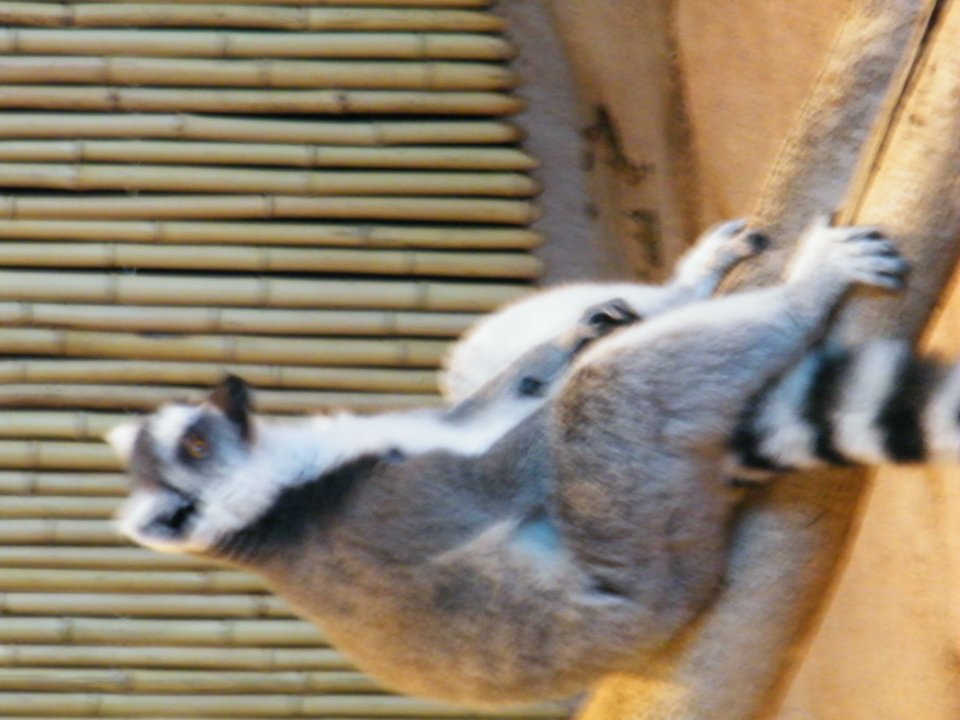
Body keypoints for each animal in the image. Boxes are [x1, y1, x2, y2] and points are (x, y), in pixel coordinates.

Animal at [108, 219, 945, 709]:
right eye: (193, 444)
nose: (233, 386)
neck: (284, 489)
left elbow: (490, 401)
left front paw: (655, 296)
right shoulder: (397, 503)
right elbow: (502, 470)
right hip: (643, 557)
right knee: (606, 393)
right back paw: (807, 288)